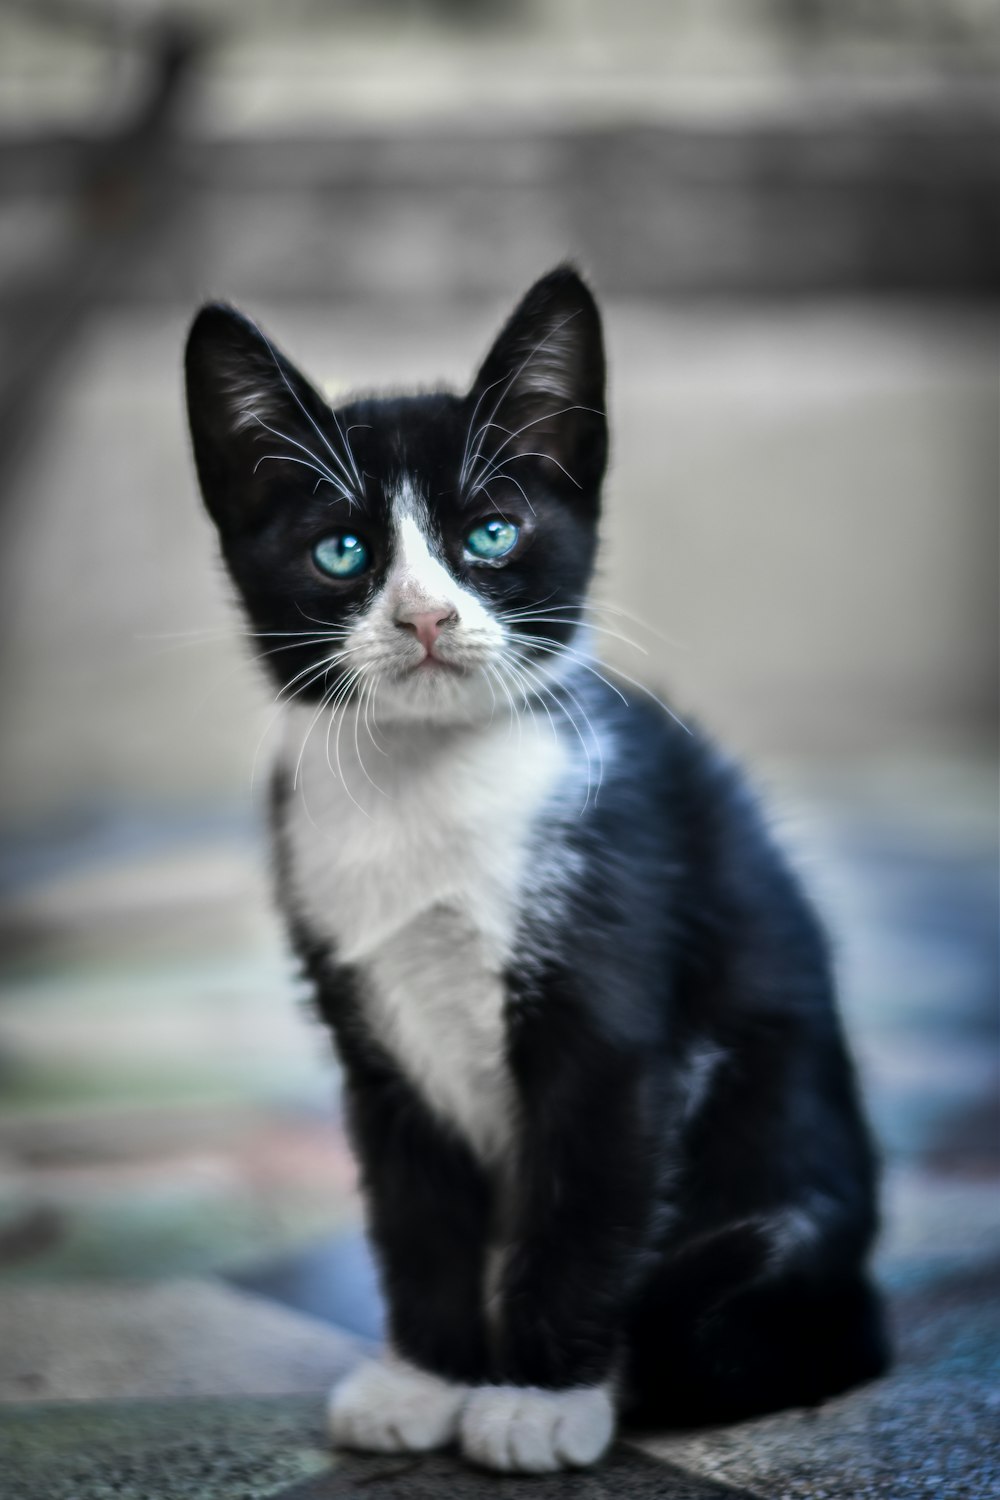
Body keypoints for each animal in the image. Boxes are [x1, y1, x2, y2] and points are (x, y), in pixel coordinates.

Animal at [183, 270, 887, 1476]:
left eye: (493, 533)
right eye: (342, 553)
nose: (425, 614)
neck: (426, 786)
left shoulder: (611, 992)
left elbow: (586, 1193)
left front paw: (536, 1397)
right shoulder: (371, 1026)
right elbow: (415, 1209)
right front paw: (427, 1377)